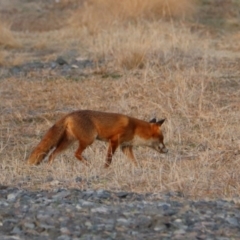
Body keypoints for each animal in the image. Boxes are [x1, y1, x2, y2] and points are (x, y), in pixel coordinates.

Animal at [27, 109, 168, 168]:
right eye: (162, 139)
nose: (167, 150)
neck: (134, 128)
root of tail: (69, 114)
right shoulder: (114, 141)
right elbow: (109, 159)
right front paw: (105, 169)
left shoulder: (126, 146)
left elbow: (134, 161)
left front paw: (138, 169)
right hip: (89, 139)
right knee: (76, 154)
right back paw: (88, 165)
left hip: (68, 142)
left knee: (52, 154)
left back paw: (50, 168)